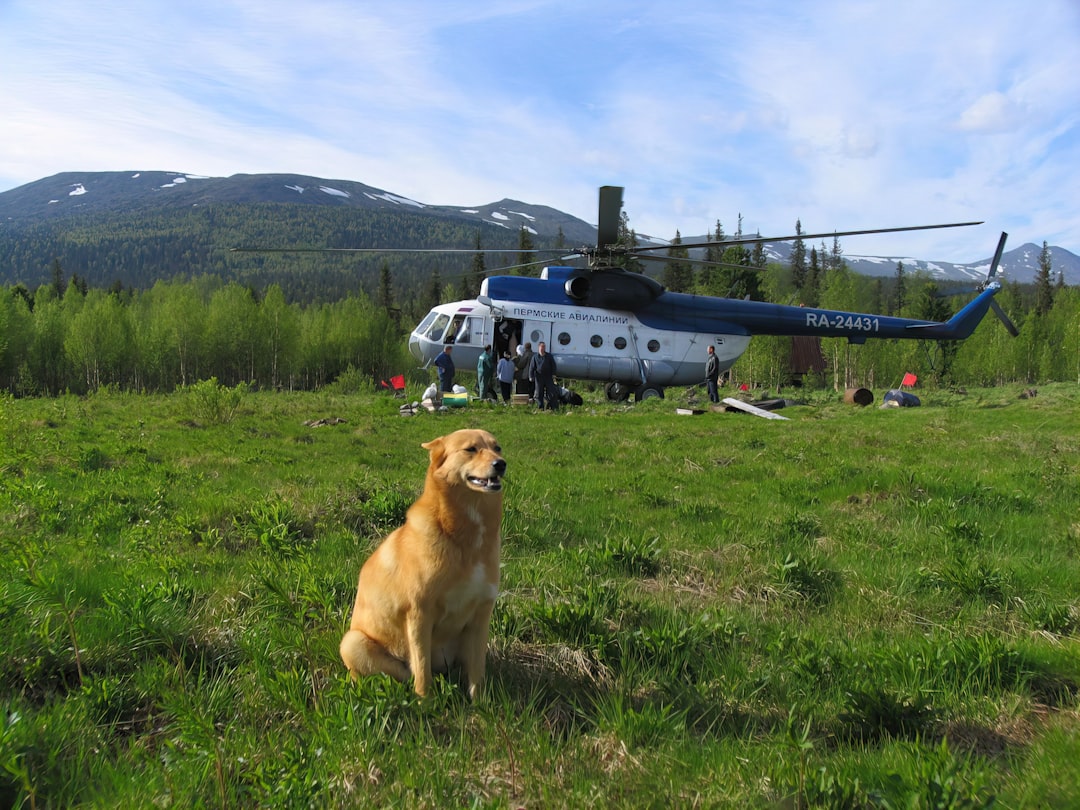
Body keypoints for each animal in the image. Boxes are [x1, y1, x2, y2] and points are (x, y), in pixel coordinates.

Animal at [339, 427, 503, 699]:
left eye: (497, 448)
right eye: (471, 449)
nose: (501, 464)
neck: (462, 536)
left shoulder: (481, 614)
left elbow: (477, 672)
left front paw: (480, 703)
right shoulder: (419, 614)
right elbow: (422, 669)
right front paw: (425, 702)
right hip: (353, 643)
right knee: (401, 673)